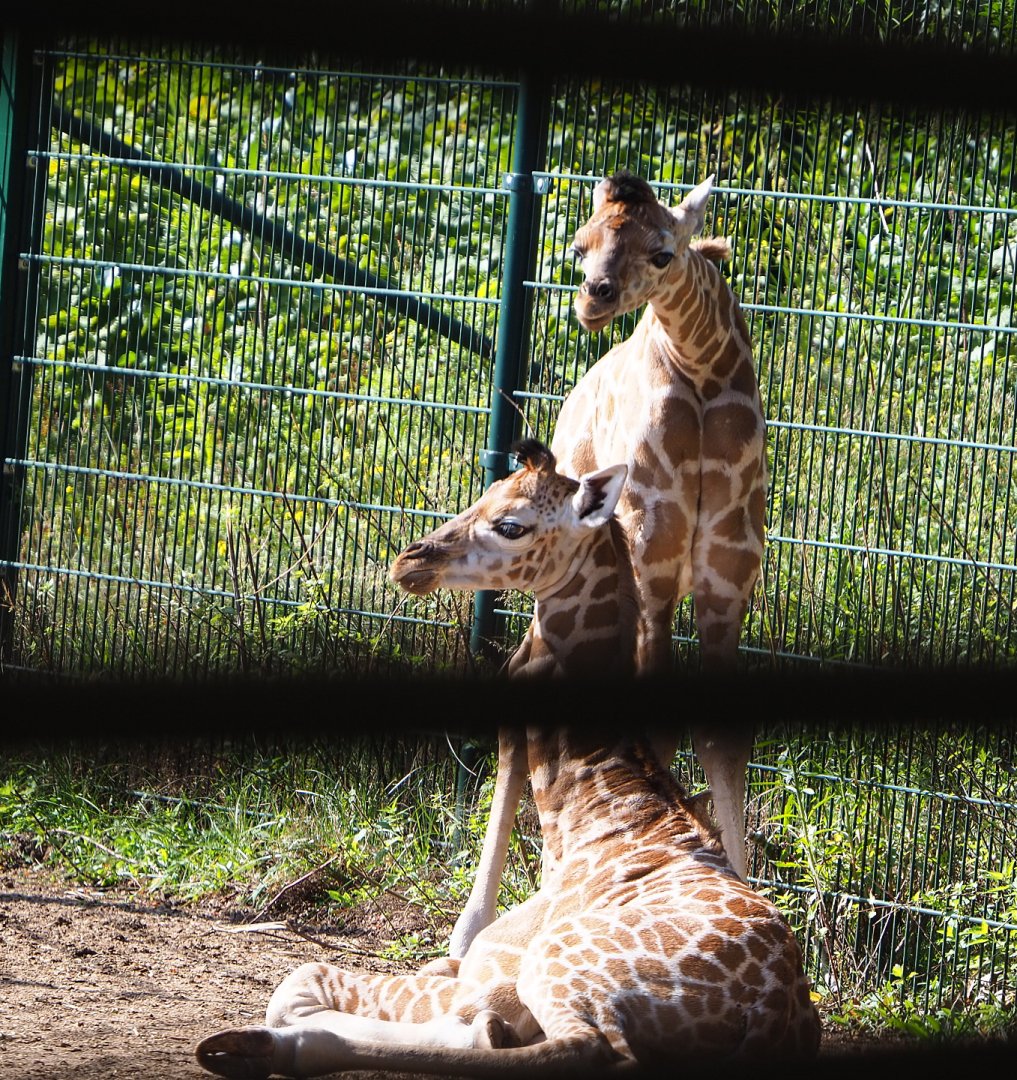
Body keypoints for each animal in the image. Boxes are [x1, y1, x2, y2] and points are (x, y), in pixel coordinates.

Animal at [195, 443, 820, 1076]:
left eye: (511, 525)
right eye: (482, 496)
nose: (409, 561)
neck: (593, 812)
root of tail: (769, 1011)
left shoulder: (485, 981)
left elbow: (300, 979)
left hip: (554, 968)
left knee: (577, 1047)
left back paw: (263, 1045)